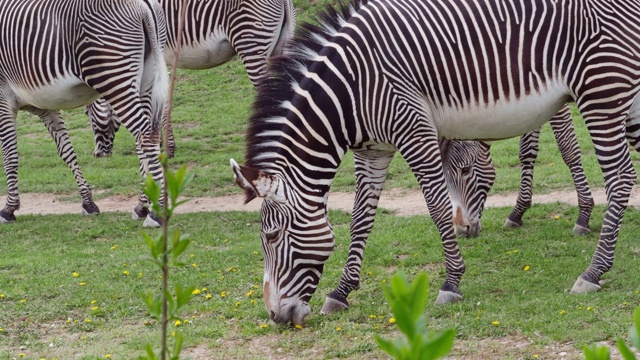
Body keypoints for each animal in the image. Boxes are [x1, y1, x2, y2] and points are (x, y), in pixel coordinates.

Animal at [0, 0, 169, 226]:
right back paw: (141, 206)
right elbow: (67, 151)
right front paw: (88, 203)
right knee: (143, 139)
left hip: (114, 77)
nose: (98, 154)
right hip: (146, 78)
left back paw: (156, 214)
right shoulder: (44, 106)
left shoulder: (3, 99)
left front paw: (9, 209)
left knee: (146, 135)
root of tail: (142, 5)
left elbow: (10, 155)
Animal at [85, 0, 296, 158]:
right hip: (280, 48)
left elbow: (161, 105)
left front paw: (167, 149)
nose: (97, 155)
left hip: (251, 45)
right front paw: (159, 142)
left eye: (88, 114)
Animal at [228, 0, 636, 326]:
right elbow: (361, 218)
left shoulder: (415, 131)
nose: (275, 316)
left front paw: (451, 282)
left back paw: (593, 272)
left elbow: (438, 209)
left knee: (619, 178)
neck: (351, 89)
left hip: (601, 93)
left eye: (271, 236)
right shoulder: (373, 149)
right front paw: (341, 292)